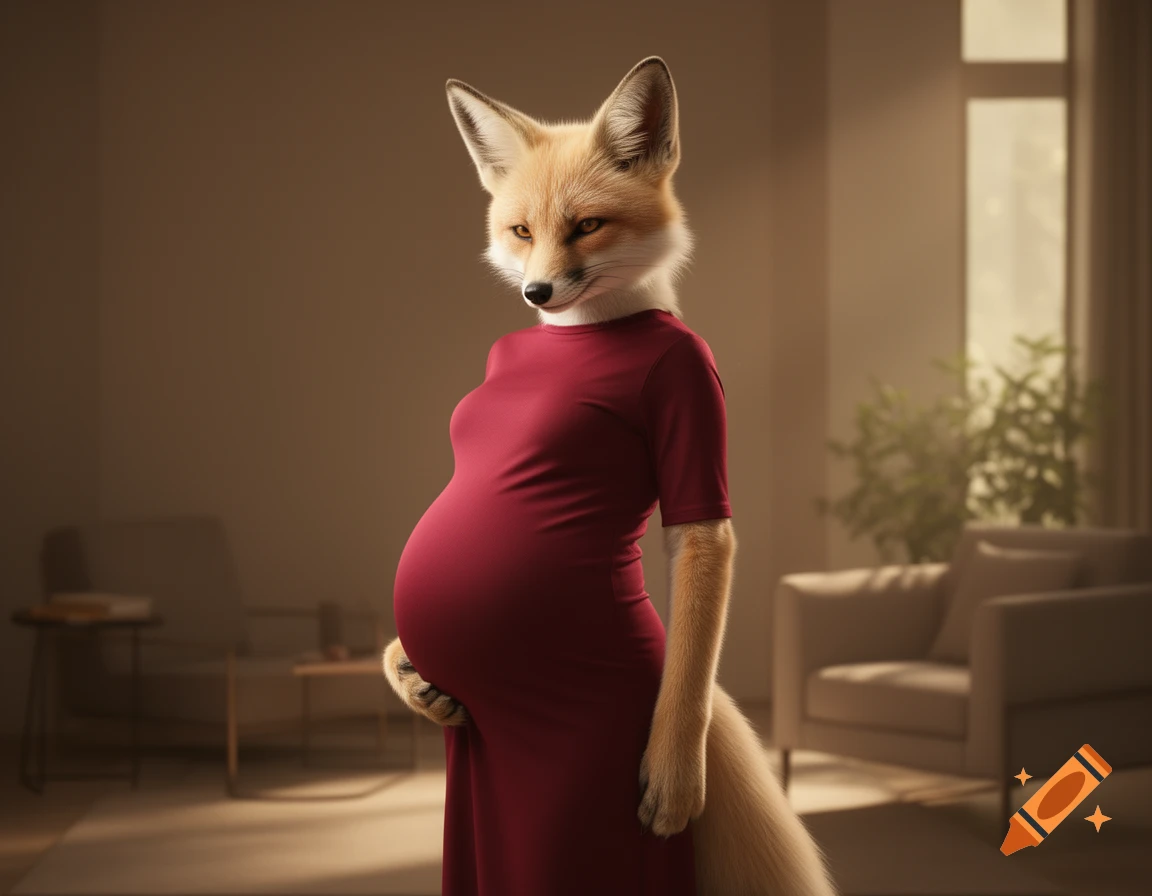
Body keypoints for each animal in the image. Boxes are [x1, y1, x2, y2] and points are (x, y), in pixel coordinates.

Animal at [383, 56, 837, 896]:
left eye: (587, 226)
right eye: (522, 232)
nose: (537, 292)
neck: (588, 332)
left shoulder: (693, 410)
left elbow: (698, 547)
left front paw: (673, 777)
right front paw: (412, 680)